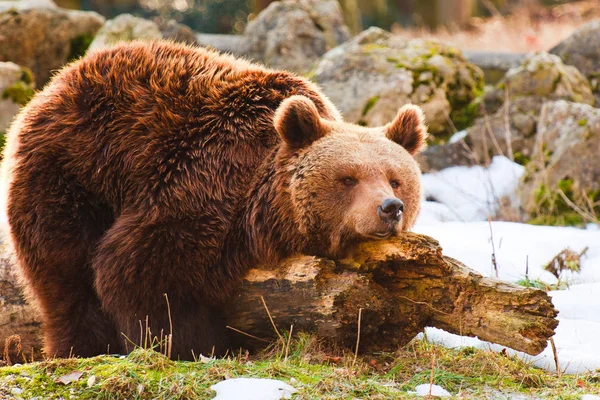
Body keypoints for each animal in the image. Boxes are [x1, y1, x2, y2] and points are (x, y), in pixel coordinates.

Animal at [3, 39, 426, 360]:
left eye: (395, 180)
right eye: (348, 178)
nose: (390, 209)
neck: (262, 205)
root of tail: (56, 83)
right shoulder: (205, 185)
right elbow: (137, 268)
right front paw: (194, 343)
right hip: (74, 171)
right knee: (65, 270)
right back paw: (80, 345)